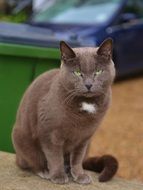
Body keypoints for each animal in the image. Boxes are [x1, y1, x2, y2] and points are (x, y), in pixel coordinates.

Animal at [12, 38, 117, 184]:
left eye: (98, 71)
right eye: (77, 72)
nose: (88, 84)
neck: (86, 104)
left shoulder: (84, 138)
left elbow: (77, 159)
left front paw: (79, 175)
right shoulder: (50, 133)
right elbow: (55, 156)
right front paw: (58, 176)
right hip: (22, 139)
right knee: (30, 162)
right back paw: (45, 171)